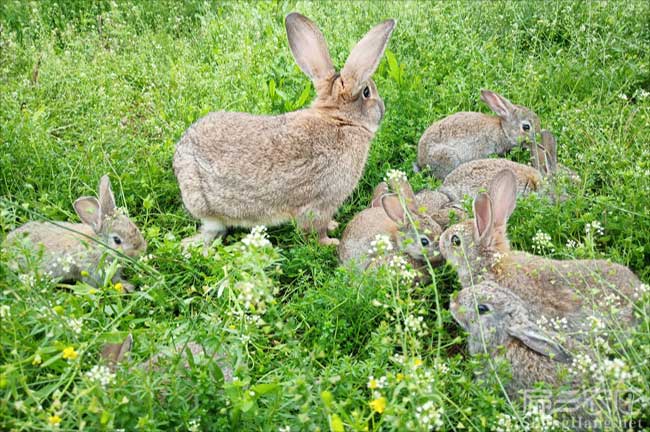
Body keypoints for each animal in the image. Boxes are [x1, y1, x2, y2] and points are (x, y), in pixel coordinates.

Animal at [173, 11, 394, 251]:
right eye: (366, 92)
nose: (383, 108)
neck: (341, 120)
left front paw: (334, 227)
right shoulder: (322, 201)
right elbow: (314, 229)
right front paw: (330, 242)